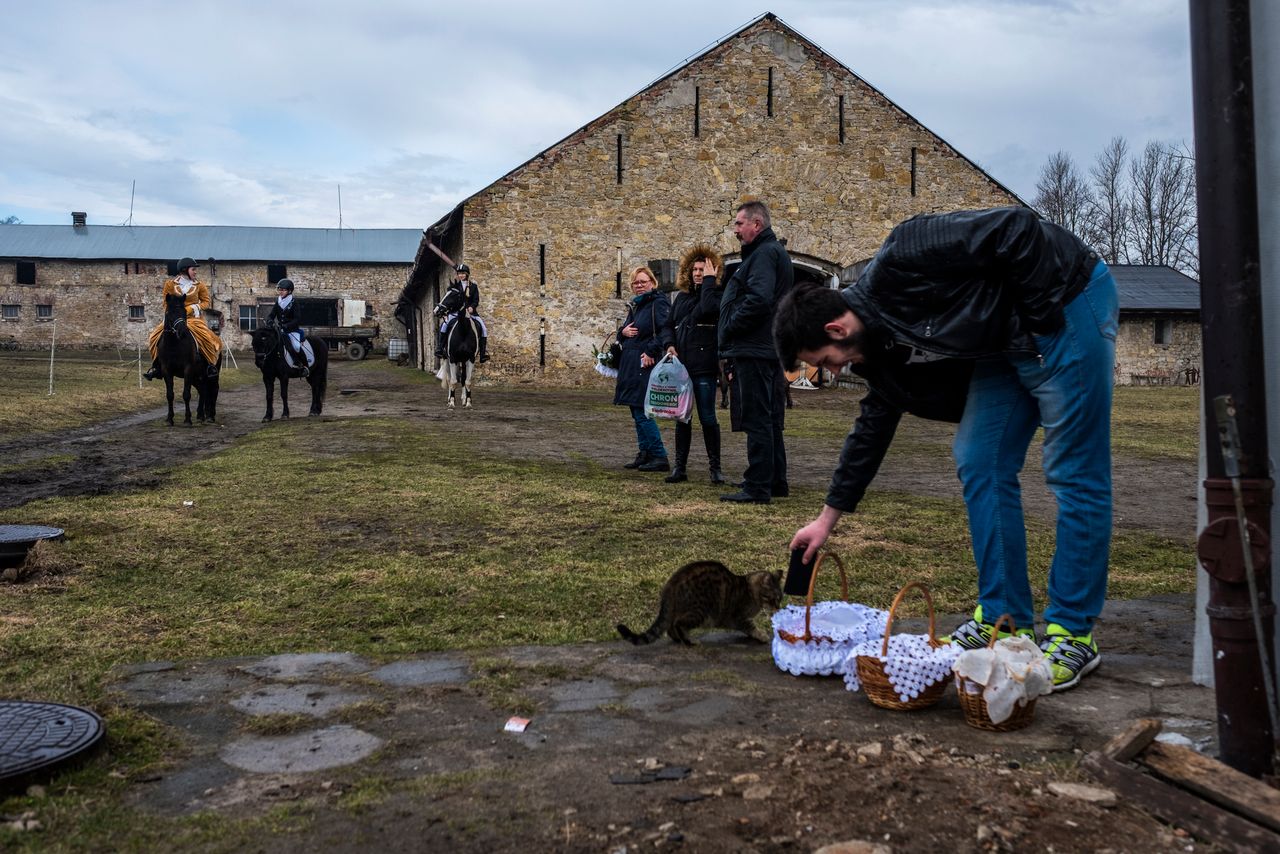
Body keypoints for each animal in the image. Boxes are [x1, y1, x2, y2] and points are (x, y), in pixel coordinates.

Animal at [158, 294, 221, 427]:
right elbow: (169, 395)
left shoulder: (188, 369)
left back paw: (210, 416)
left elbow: (186, 394)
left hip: (211, 374)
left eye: (184, 312)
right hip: (197, 376)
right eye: (170, 312)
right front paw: (170, 419)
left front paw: (187, 419)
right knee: (203, 390)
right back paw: (201, 415)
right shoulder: (166, 370)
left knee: (214, 389)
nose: (182, 332)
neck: (174, 345)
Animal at [616, 560, 783, 647]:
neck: (750, 589)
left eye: (780, 599)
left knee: (670, 626)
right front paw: (761, 635)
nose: (778, 608)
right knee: (678, 624)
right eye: (774, 598)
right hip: (701, 612)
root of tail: (671, 584)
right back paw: (688, 640)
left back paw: (678, 638)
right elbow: (751, 627)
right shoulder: (739, 617)